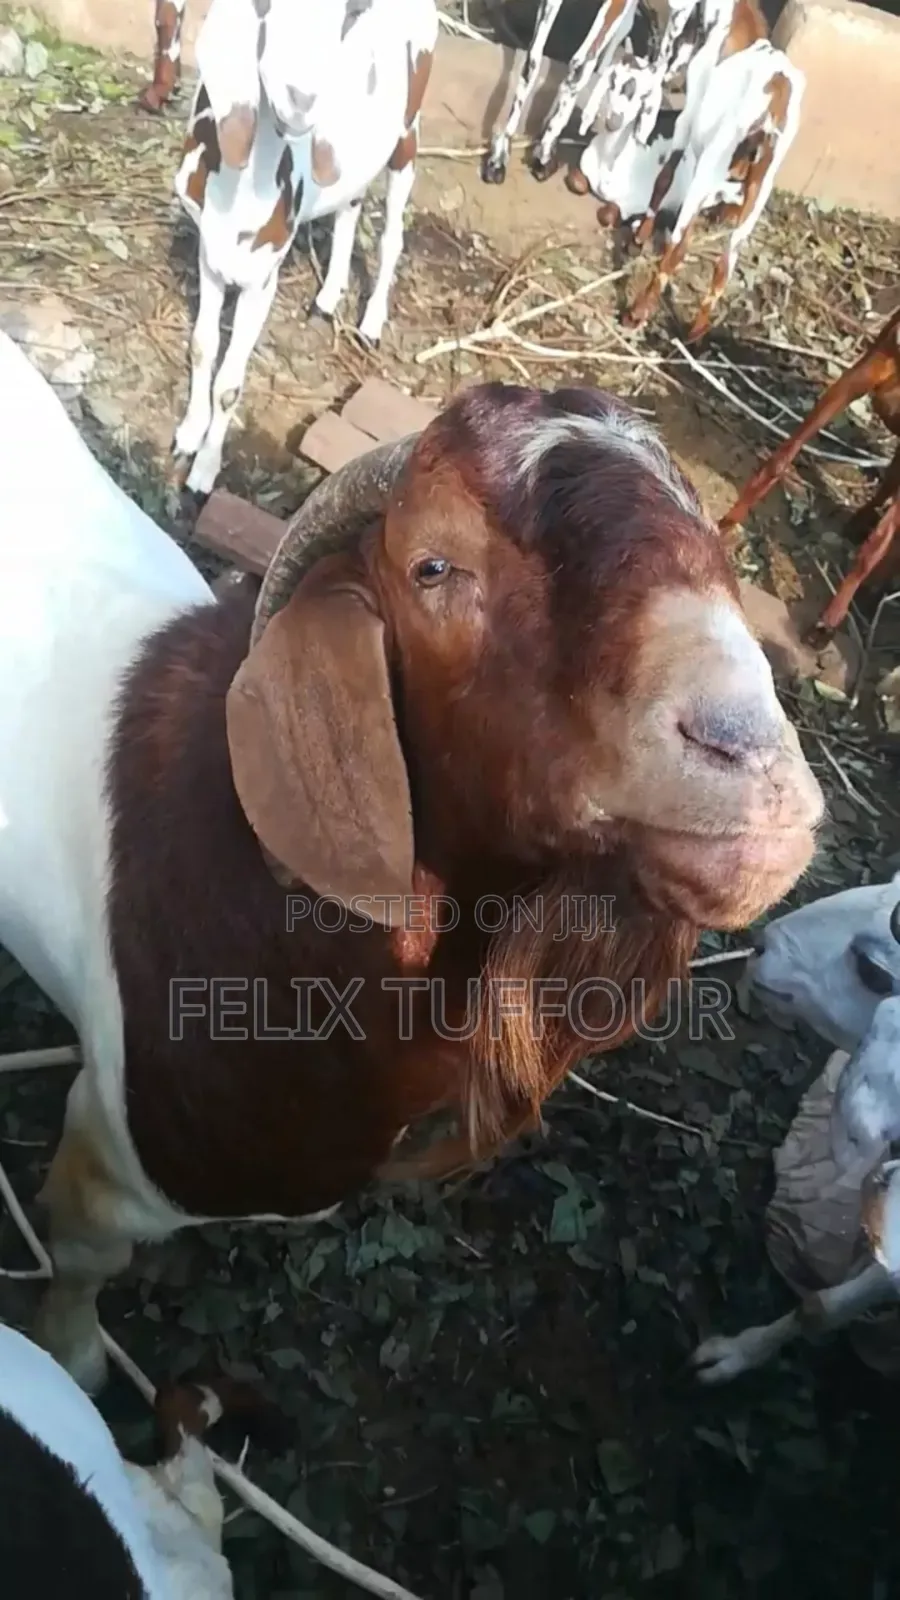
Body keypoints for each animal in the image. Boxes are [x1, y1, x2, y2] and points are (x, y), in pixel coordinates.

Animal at [172, 0, 437, 495]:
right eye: (264, 9)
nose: (303, 100)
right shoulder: (210, 256)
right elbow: (201, 345)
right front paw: (188, 433)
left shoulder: (261, 279)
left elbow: (230, 385)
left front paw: (204, 471)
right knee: (350, 207)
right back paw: (327, 299)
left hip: (407, 135)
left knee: (392, 233)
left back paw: (370, 323)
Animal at [621, 40, 804, 341]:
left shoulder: (685, 123)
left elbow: (664, 179)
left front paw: (640, 235)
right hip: (756, 198)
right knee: (725, 266)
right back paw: (696, 331)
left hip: (707, 169)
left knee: (677, 250)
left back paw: (636, 313)